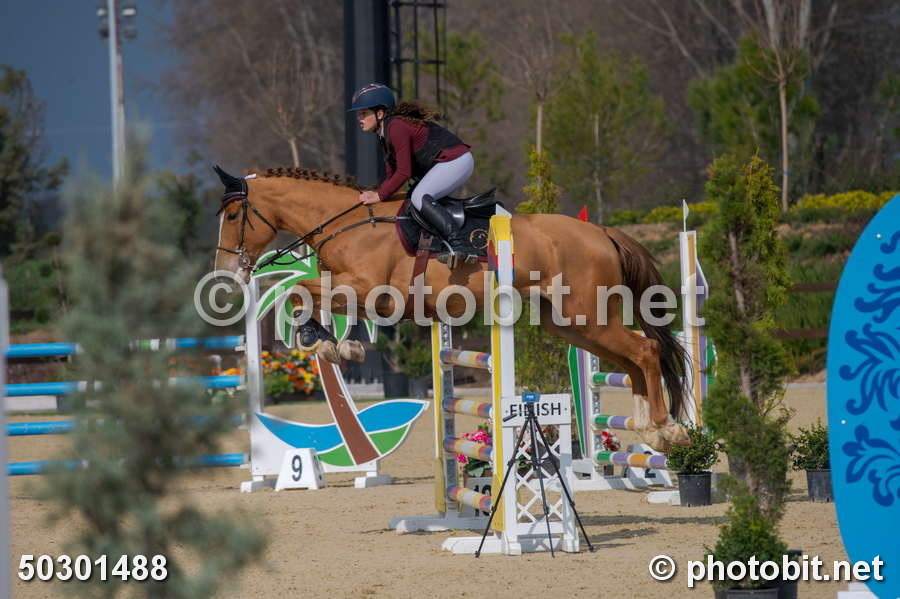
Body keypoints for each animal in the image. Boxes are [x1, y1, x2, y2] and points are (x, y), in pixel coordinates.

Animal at [212, 166, 690, 451]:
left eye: (234, 215)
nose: (227, 271)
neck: (348, 223)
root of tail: (603, 232)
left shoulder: (372, 291)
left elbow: (299, 292)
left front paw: (327, 344)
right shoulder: (360, 294)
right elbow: (308, 295)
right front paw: (333, 345)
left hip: (587, 316)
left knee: (645, 351)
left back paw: (666, 428)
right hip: (572, 325)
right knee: (630, 360)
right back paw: (649, 429)